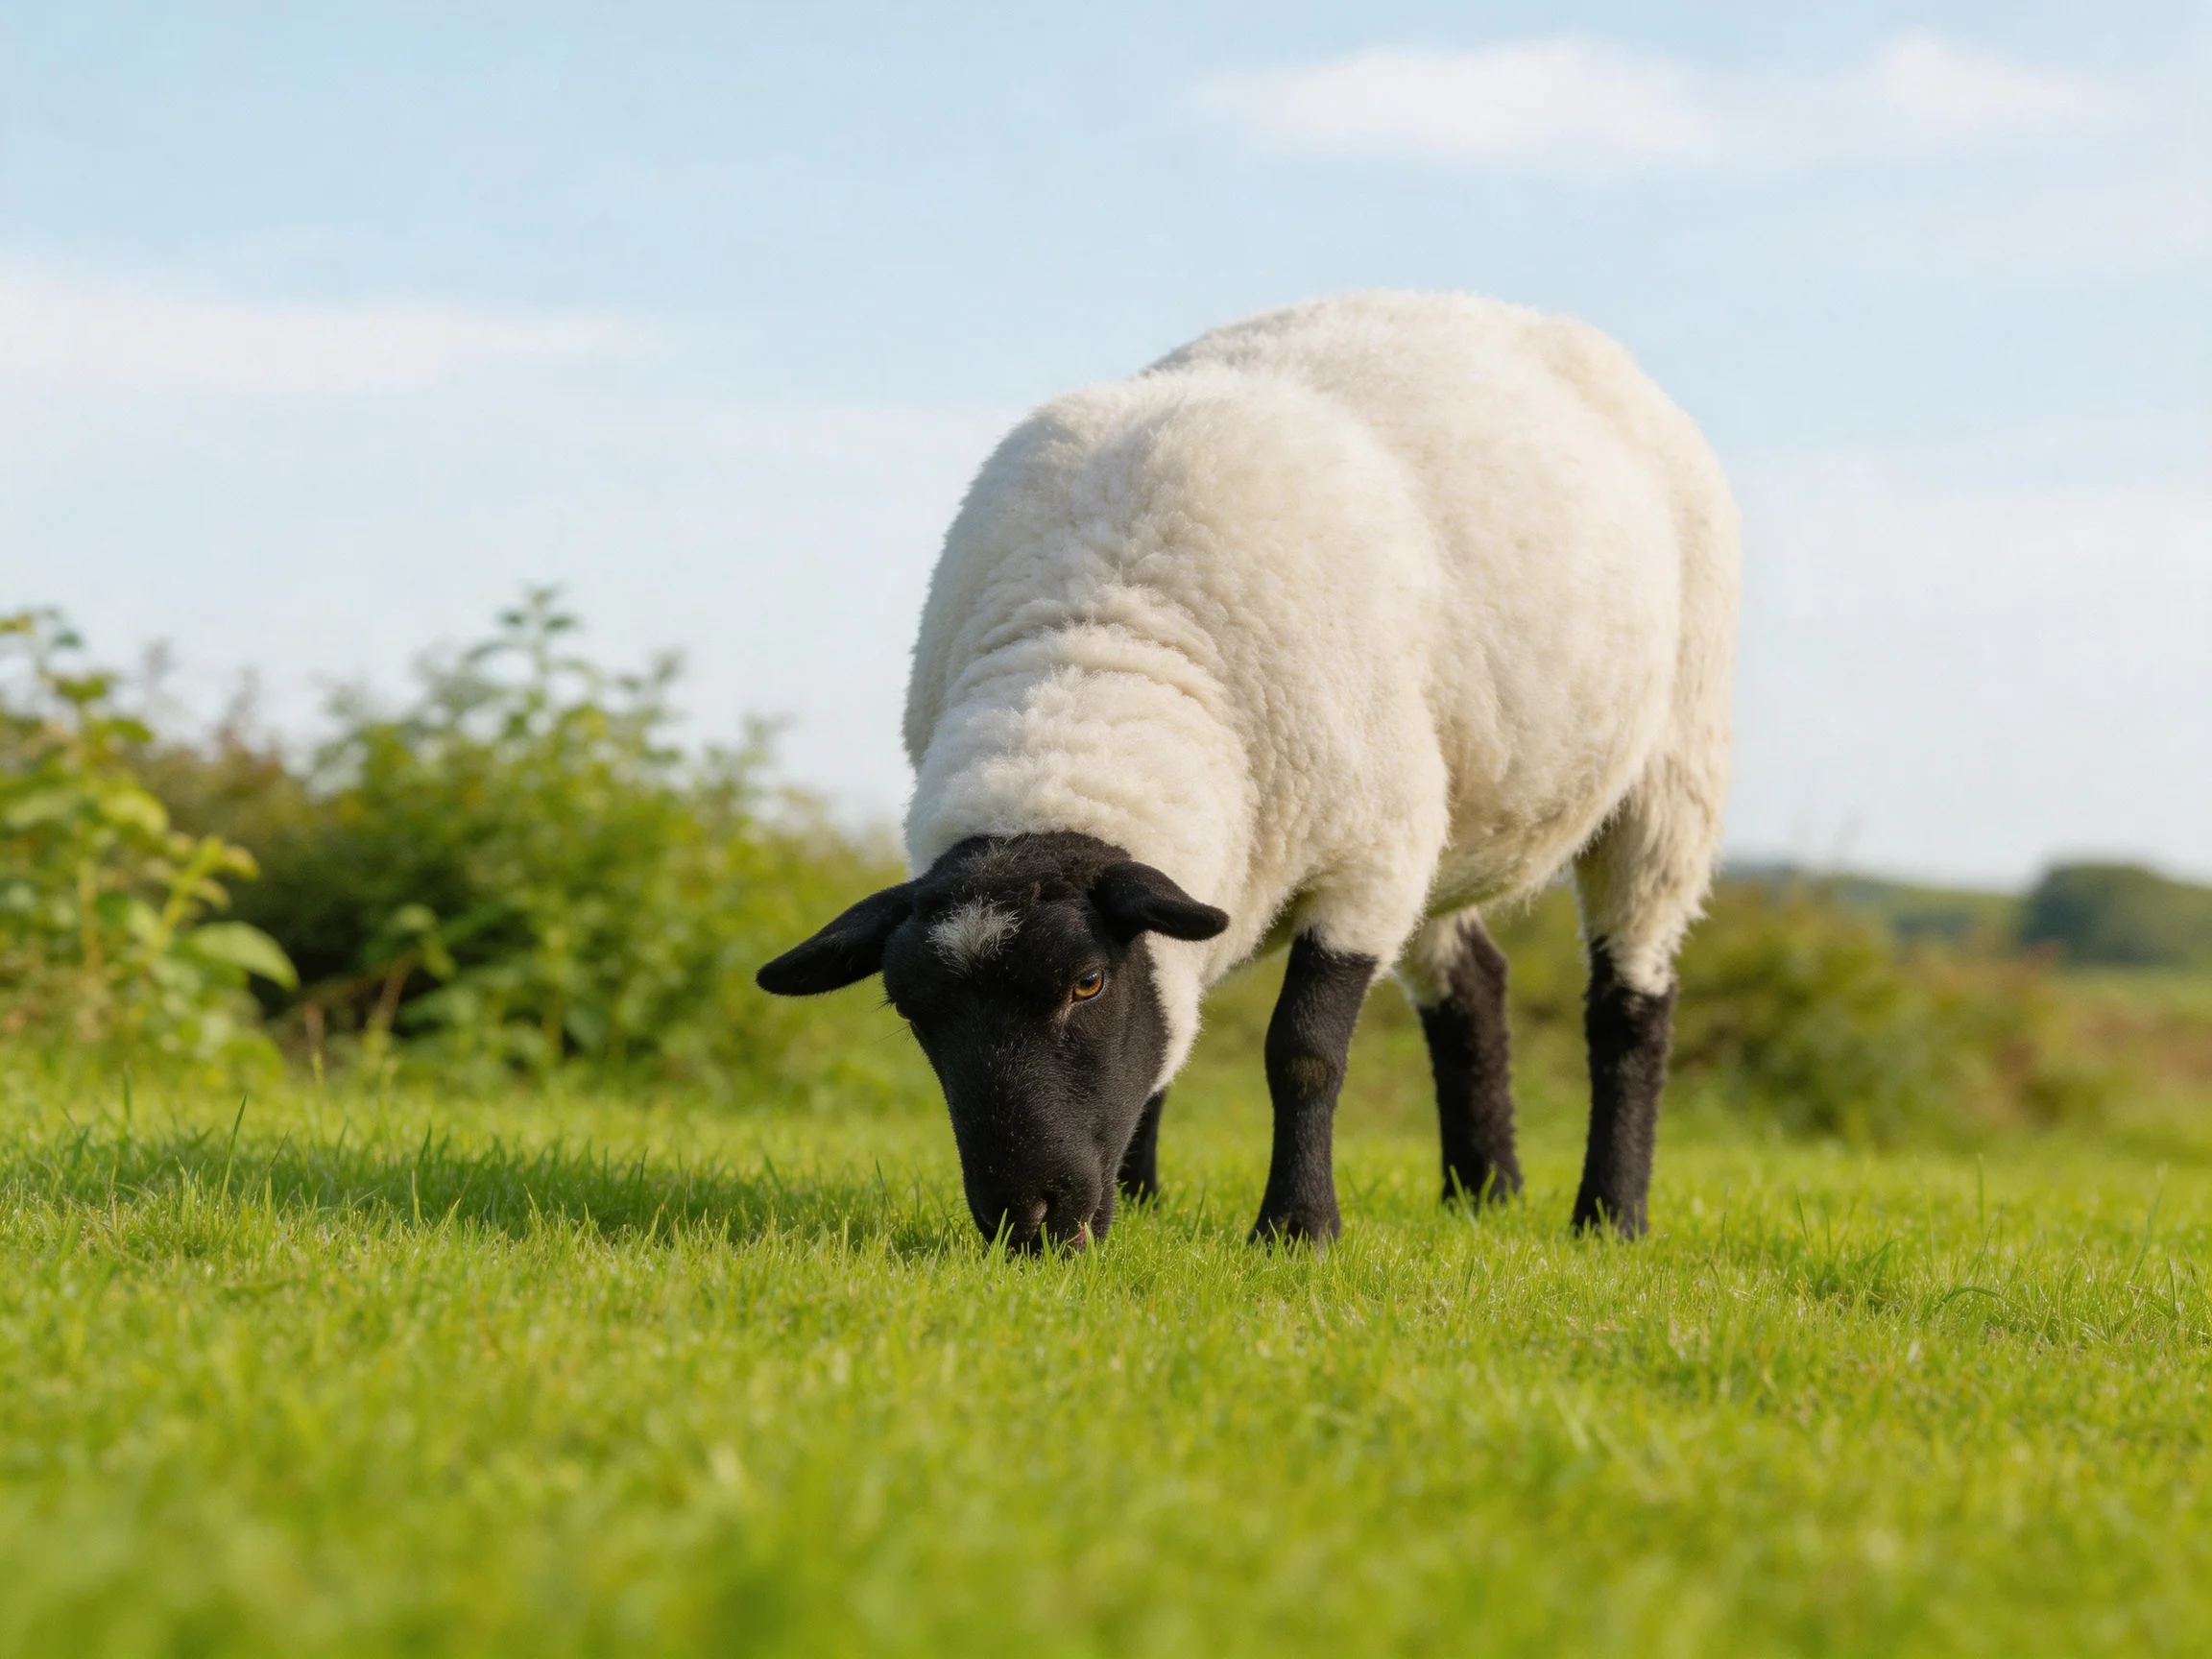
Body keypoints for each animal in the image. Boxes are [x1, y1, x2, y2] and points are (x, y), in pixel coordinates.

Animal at [759, 291, 1739, 1251]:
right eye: (910, 1010)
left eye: (1087, 983)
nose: (1029, 1226)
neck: (1101, 646)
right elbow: (1166, 1052)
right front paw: (1145, 1201)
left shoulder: (1367, 863)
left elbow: (1302, 1053)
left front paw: (1298, 1230)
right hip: (1448, 815)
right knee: (1473, 989)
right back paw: (1483, 1196)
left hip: (1667, 773)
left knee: (1631, 1001)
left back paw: (1610, 1218)